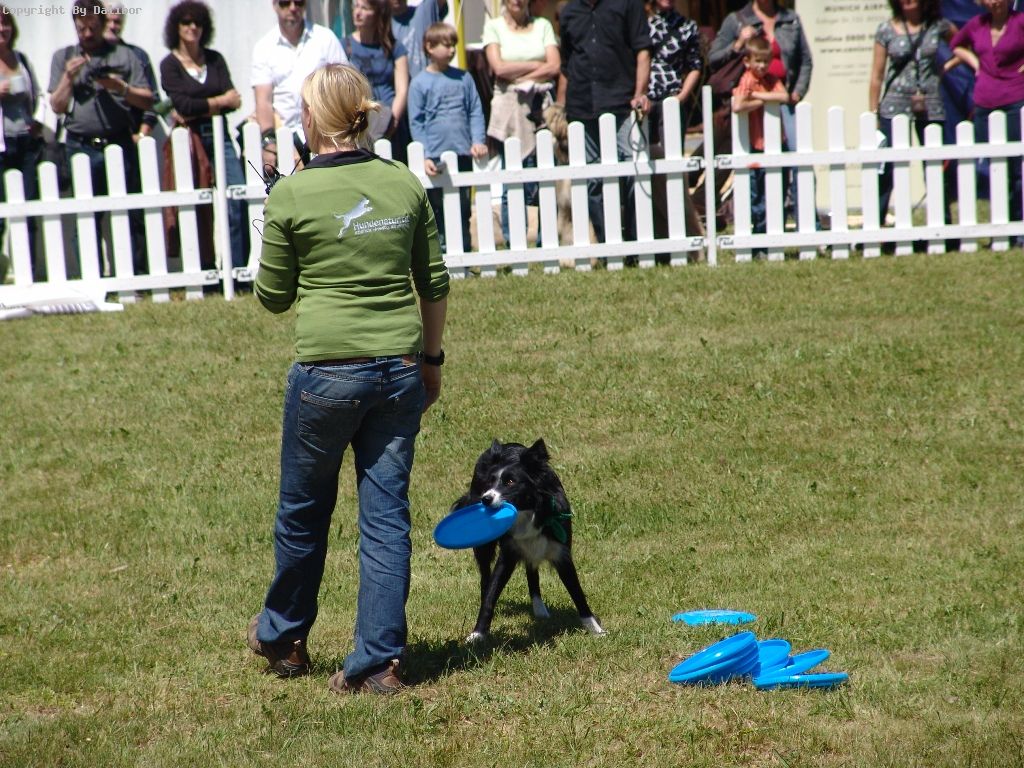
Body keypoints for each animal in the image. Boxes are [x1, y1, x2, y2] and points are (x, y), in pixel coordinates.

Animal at [451, 439, 605, 643]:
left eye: (510, 481)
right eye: (490, 482)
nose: (485, 499)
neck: (529, 511)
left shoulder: (561, 553)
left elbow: (578, 593)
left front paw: (597, 630)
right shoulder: (507, 555)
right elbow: (490, 597)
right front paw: (477, 634)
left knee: (531, 570)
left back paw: (539, 610)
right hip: (484, 545)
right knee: (485, 578)